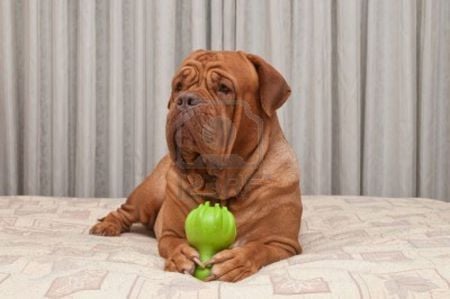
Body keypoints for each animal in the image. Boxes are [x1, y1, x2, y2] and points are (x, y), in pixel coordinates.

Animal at [90, 50, 302, 282]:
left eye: (224, 88)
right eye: (179, 86)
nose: (185, 100)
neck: (223, 186)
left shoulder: (282, 243)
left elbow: (258, 248)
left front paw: (236, 262)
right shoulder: (170, 233)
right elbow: (174, 242)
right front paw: (180, 256)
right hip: (147, 196)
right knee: (123, 212)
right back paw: (106, 226)